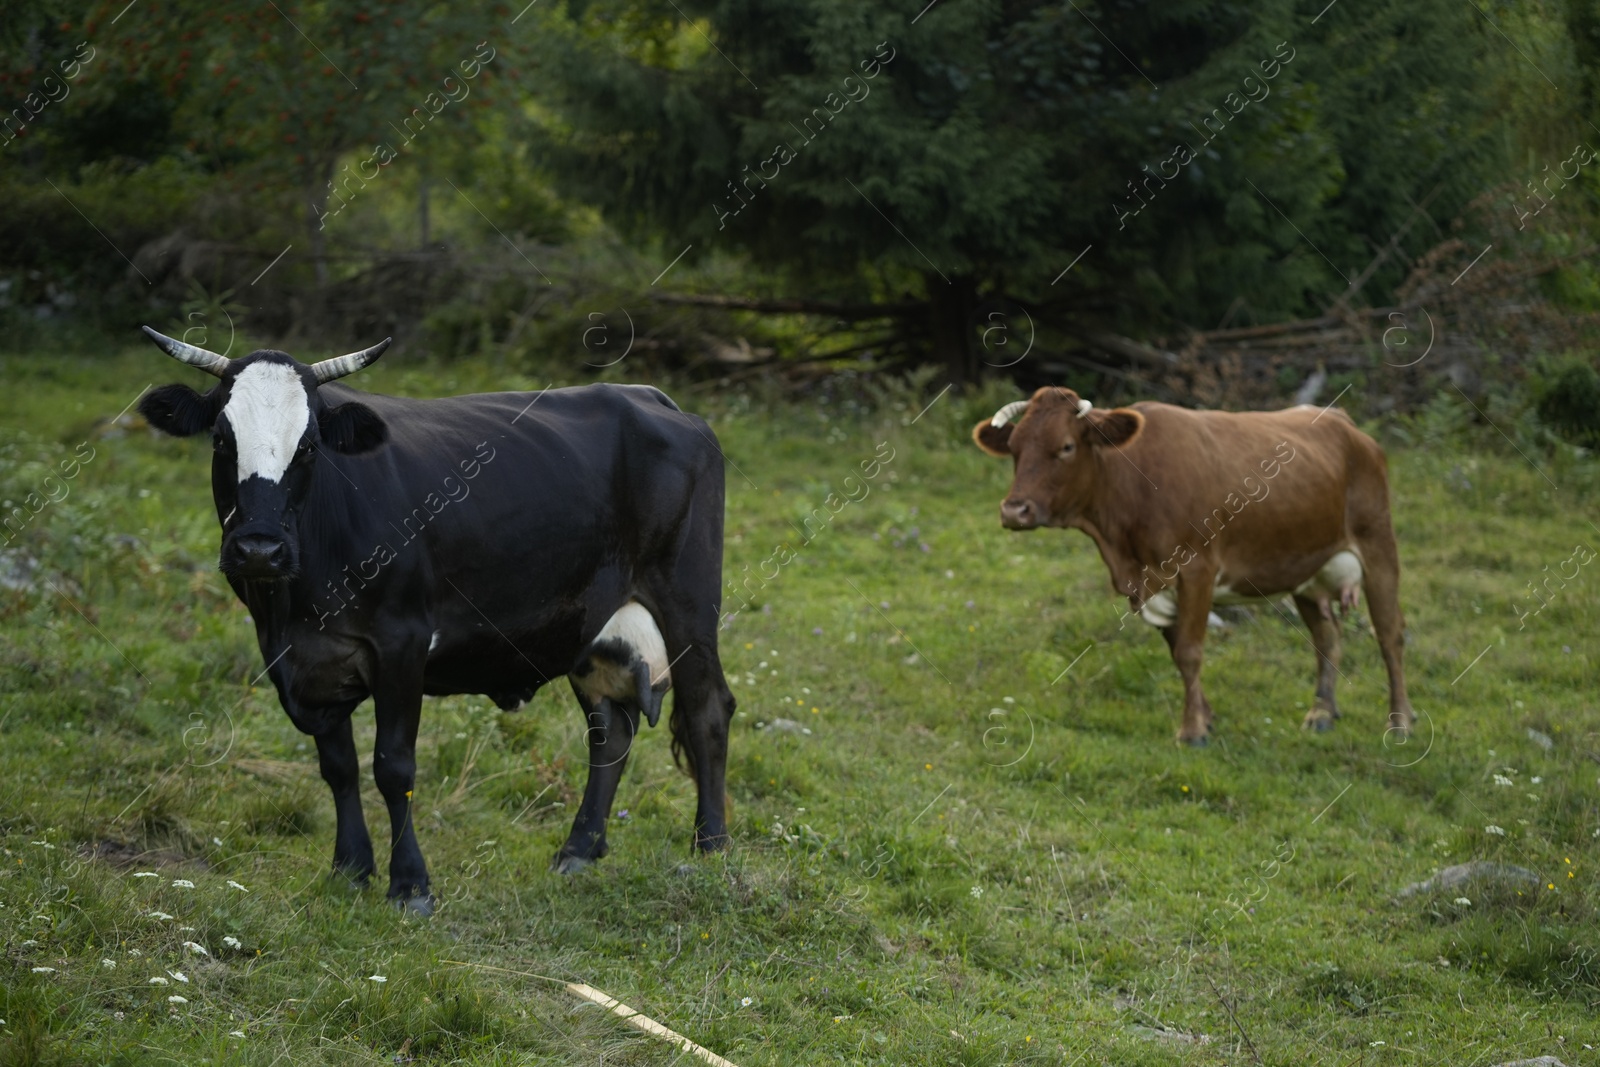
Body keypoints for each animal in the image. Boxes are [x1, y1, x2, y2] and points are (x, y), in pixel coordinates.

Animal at [137, 326, 736, 908]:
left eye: (308, 447)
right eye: (221, 438)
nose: (259, 549)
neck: (294, 605)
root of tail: (646, 395)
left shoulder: (401, 642)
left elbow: (393, 765)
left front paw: (410, 885)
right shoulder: (302, 660)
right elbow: (339, 766)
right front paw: (350, 869)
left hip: (688, 600)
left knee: (707, 710)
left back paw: (711, 847)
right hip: (592, 627)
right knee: (610, 730)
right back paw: (579, 850)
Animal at [972, 388, 1414, 748]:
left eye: (1065, 447)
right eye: (1013, 447)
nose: (1014, 510)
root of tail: (1344, 421)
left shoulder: (1197, 569)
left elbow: (1189, 651)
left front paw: (1192, 731)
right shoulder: (1152, 582)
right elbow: (1176, 649)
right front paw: (1205, 716)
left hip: (1378, 542)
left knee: (1390, 634)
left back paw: (1400, 722)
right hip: (1306, 566)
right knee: (1327, 635)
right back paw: (1322, 712)